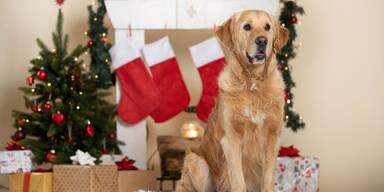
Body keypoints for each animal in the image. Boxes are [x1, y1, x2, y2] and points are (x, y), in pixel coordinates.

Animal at [177, 10, 288, 192]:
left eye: (267, 27)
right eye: (247, 27)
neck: (253, 83)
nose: (262, 41)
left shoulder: (273, 136)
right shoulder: (231, 138)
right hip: (197, 161)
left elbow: (268, 179)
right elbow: (238, 181)